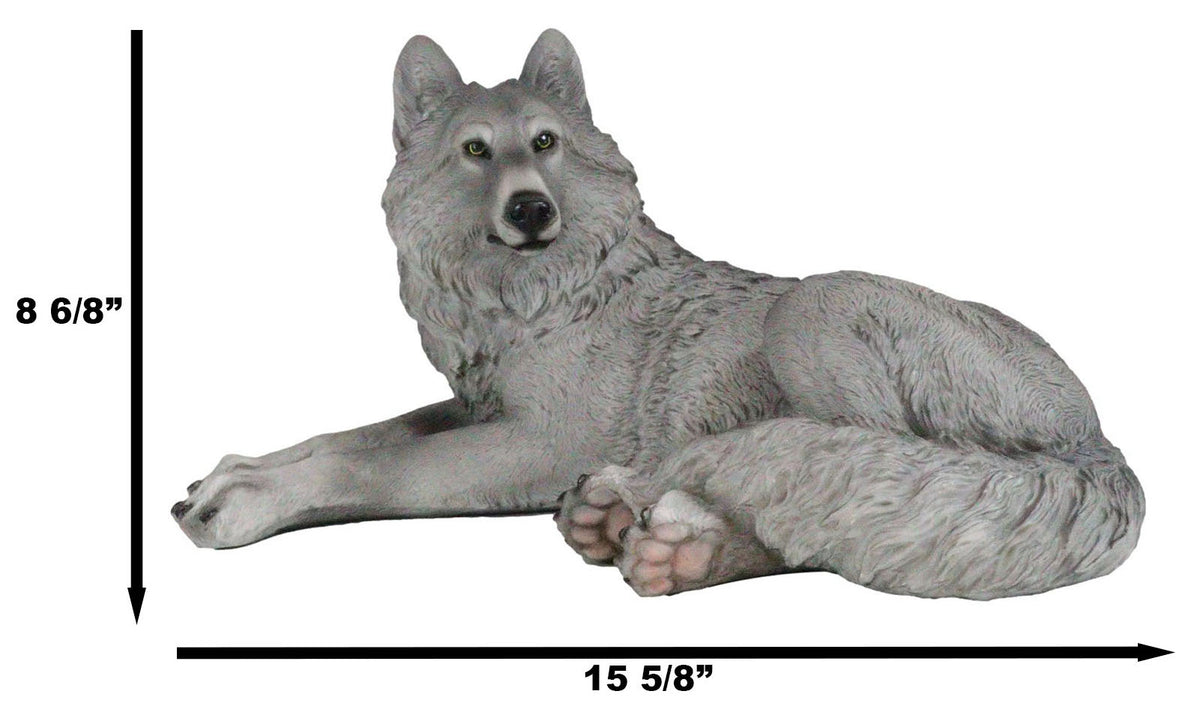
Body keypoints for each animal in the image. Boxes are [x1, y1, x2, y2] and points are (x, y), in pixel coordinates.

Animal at [172, 29, 1144, 599]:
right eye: (476, 152)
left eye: (546, 144)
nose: (531, 209)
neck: (539, 297)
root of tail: (1095, 438)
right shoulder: (476, 404)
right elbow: (353, 438)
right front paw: (234, 474)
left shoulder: (545, 440)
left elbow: (378, 468)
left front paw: (249, 499)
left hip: (816, 307)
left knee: (850, 495)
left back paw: (672, 542)